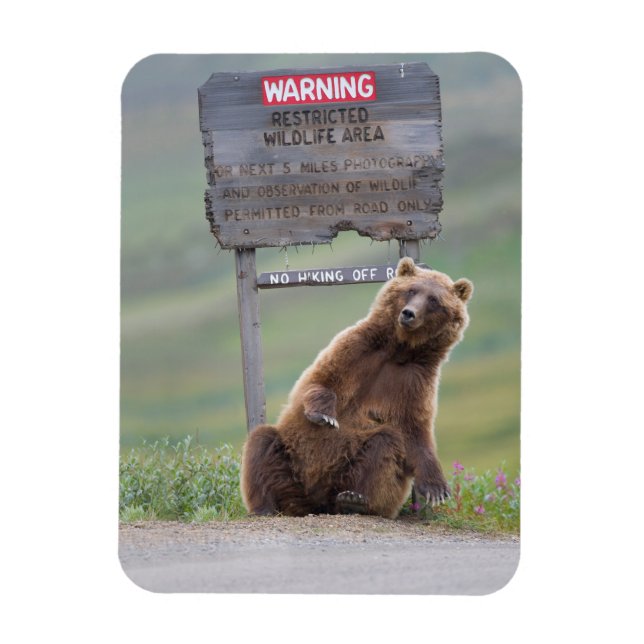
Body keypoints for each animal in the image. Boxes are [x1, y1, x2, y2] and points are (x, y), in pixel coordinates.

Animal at [240, 256, 473, 519]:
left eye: (434, 300)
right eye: (411, 290)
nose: (409, 313)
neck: (398, 349)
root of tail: (316, 505)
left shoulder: (415, 379)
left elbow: (415, 428)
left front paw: (436, 488)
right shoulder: (357, 348)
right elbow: (320, 380)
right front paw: (326, 415)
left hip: (347, 469)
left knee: (384, 444)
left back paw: (354, 500)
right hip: (291, 457)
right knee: (262, 443)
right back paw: (265, 507)